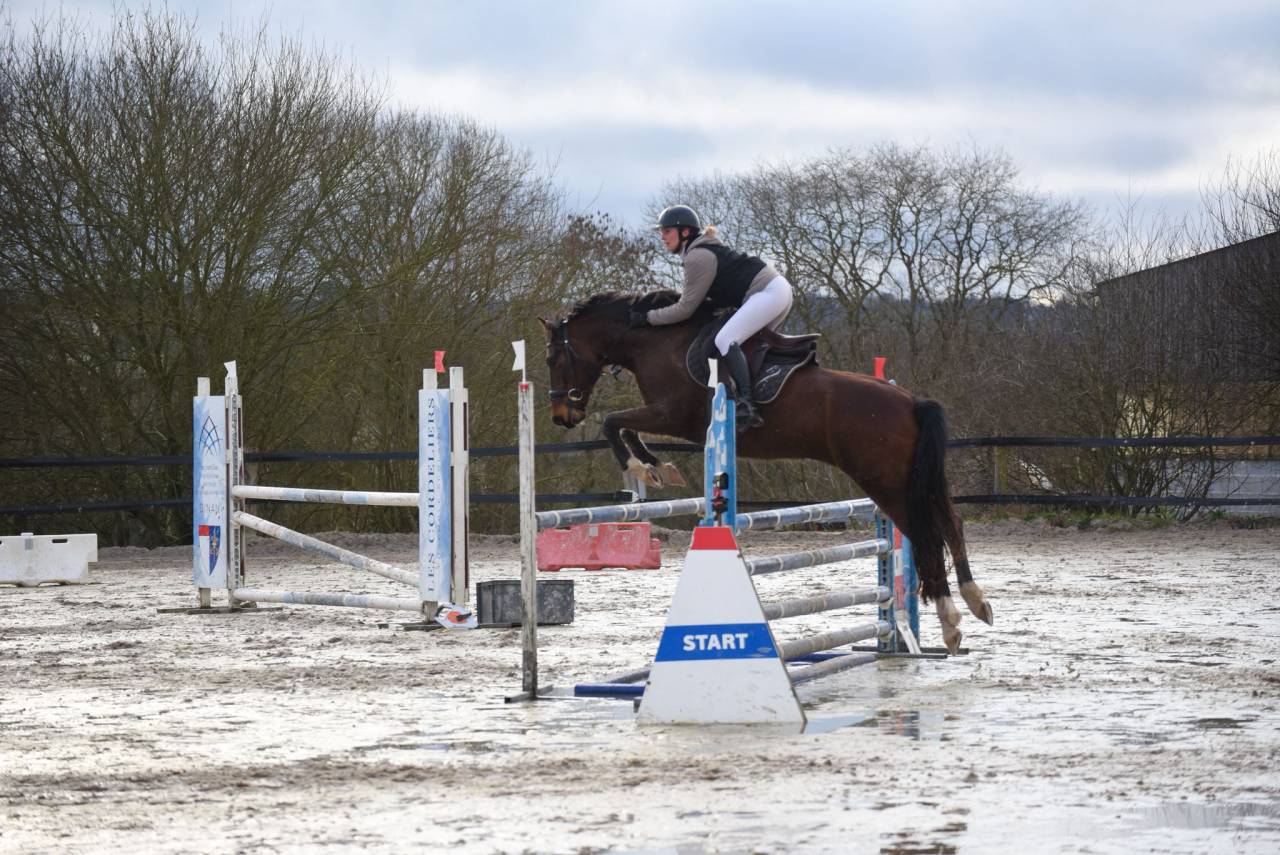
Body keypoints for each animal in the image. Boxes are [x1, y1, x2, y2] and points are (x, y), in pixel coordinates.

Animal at [539, 290, 993, 654]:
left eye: (552, 358)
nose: (562, 416)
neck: (655, 340)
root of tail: (911, 400)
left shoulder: (672, 415)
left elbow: (613, 422)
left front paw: (643, 467)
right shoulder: (671, 419)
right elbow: (626, 428)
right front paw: (658, 468)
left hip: (886, 482)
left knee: (926, 532)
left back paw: (950, 621)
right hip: (916, 480)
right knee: (950, 523)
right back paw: (973, 601)